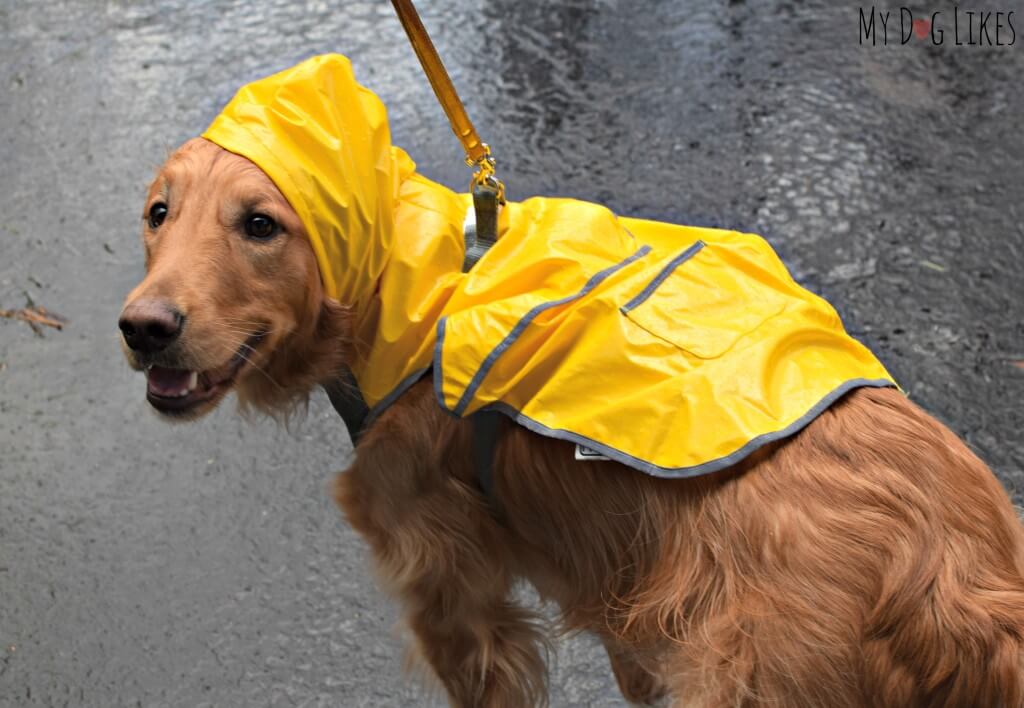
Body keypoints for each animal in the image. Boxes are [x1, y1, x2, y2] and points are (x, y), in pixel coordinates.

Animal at [123, 135, 1024, 704]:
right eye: (158, 213)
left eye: (260, 225)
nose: (143, 327)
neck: (412, 281)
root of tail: (953, 581)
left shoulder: (451, 594)